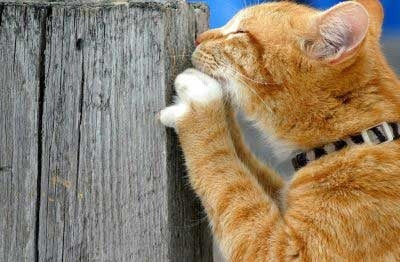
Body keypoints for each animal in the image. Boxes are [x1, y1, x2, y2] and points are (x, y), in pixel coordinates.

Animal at [159, 1, 400, 260]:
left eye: (240, 32)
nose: (198, 38)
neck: (358, 138)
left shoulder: (285, 251)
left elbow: (227, 177)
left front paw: (202, 104)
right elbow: (243, 166)